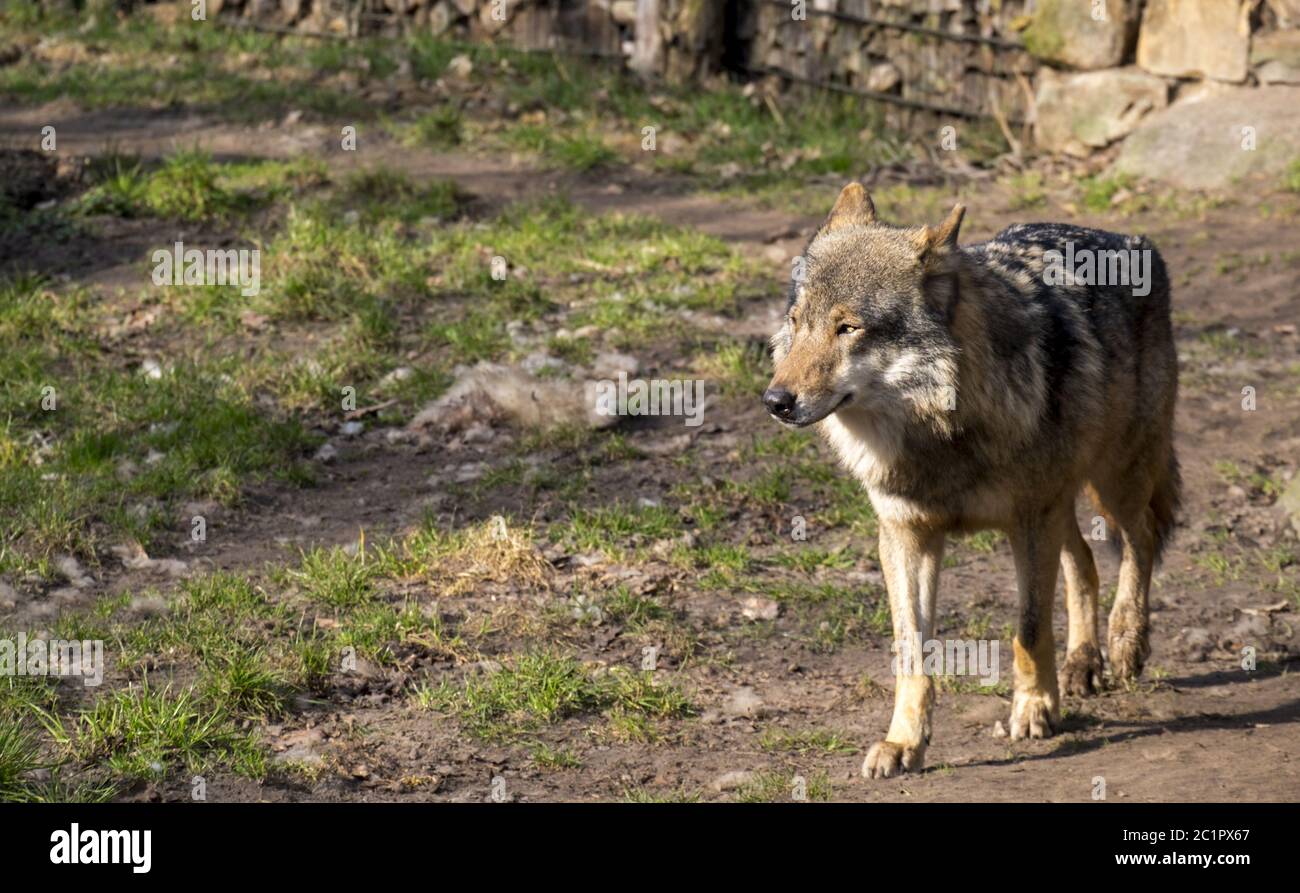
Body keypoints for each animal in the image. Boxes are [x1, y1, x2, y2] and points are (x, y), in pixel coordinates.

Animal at [764, 183, 1179, 778]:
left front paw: (1034, 709)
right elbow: (911, 651)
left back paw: (1125, 644)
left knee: (1139, 539)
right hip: (1063, 501)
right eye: (798, 322)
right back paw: (1082, 663)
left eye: (849, 328)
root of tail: (1133, 240)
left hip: (1116, 478)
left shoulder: (1029, 524)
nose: (775, 400)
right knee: (1084, 561)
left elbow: (1029, 629)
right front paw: (904, 742)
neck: (940, 435)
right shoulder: (906, 536)